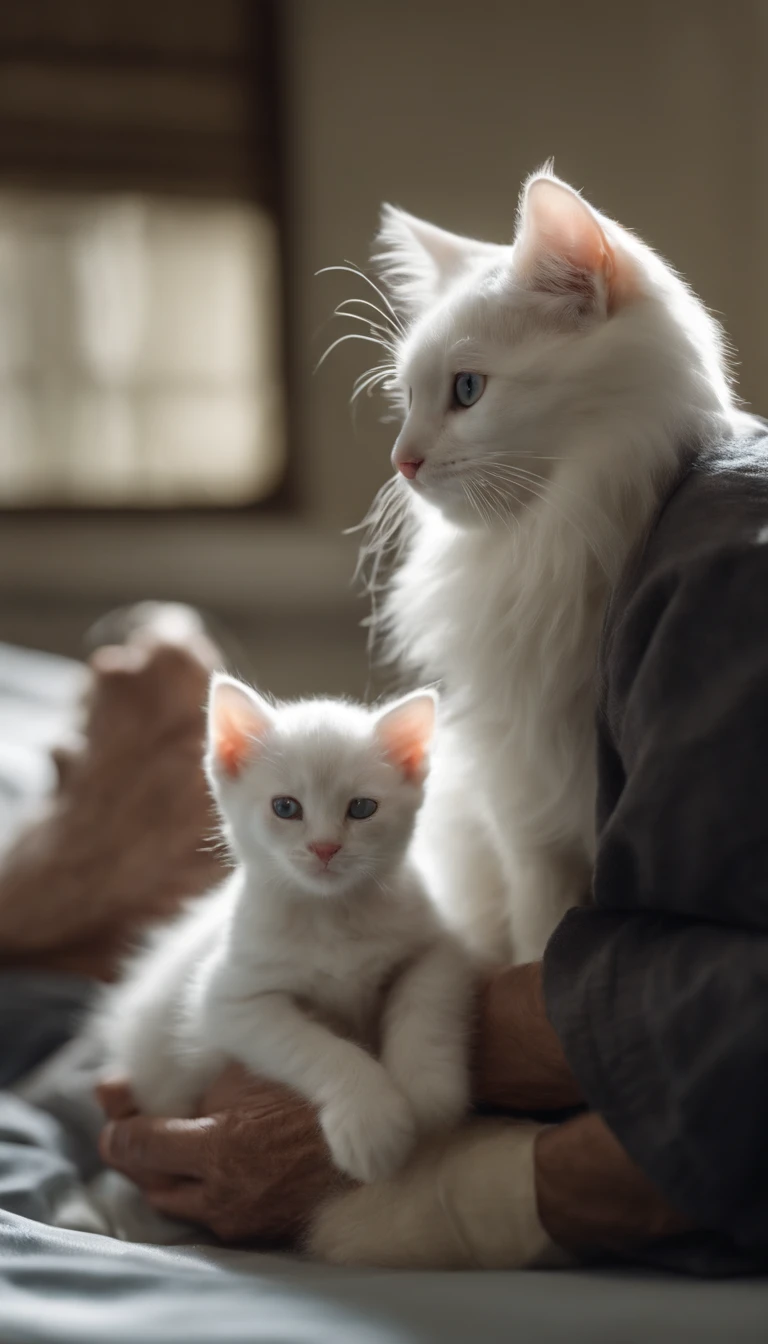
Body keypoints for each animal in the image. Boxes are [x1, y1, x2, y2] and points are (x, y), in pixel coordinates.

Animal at [94, 677, 468, 1182]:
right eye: (286, 807)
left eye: (362, 808)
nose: (325, 847)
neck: (330, 914)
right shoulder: (231, 999)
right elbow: (316, 1046)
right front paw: (370, 1118)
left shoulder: (439, 943)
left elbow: (423, 998)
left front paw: (427, 1085)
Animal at [360, 165, 737, 967]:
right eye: (406, 398)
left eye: (467, 390)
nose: (402, 461)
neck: (546, 550)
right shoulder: (526, 824)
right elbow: (538, 940)